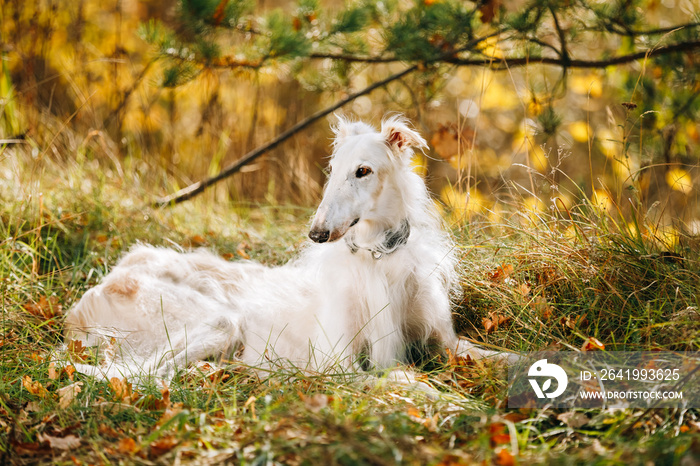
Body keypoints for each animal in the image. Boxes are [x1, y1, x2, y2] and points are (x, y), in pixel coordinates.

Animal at [63, 115, 506, 382]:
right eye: (332, 170)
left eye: (363, 171)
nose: (316, 233)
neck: (379, 257)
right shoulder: (339, 365)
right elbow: (403, 380)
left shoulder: (448, 343)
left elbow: (501, 355)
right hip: (219, 322)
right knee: (144, 375)